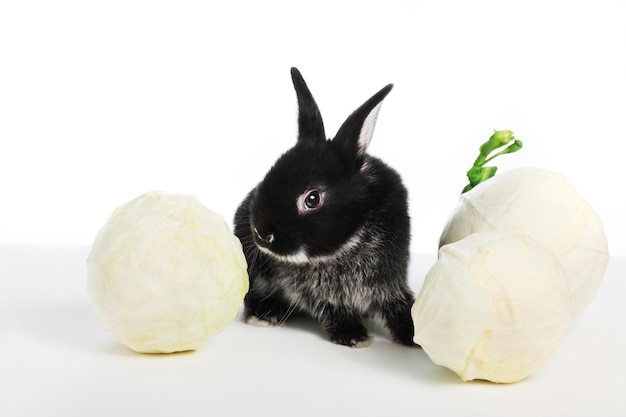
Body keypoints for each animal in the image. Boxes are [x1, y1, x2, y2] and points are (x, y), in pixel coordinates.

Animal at [234, 68, 414, 346]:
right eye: (268, 176)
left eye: (312, 199)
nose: (262, 234)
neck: (352, 243)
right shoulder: (315, 292)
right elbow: (331, 307)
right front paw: (353, 335)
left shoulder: (390, 281)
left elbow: (400, 303)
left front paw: (414, 333)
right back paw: (266, 314)